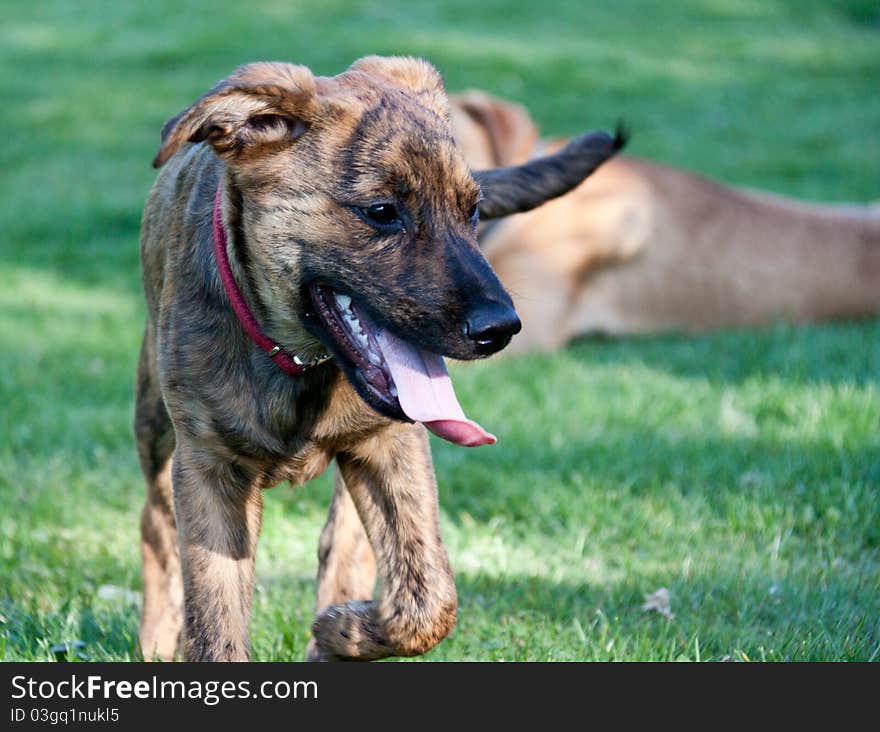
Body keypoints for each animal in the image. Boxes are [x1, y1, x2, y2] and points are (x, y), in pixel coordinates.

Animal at [136, 55, 620, 664]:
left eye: (473, 210)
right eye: (383, 212)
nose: (501, 329)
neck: (296, 361)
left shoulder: (393, 444)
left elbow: (429, 599)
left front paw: (341, 630)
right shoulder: (208, 469)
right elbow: (214, 626)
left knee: (348, 551)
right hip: (154, 422)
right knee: (155, 528)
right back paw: (156, 639)